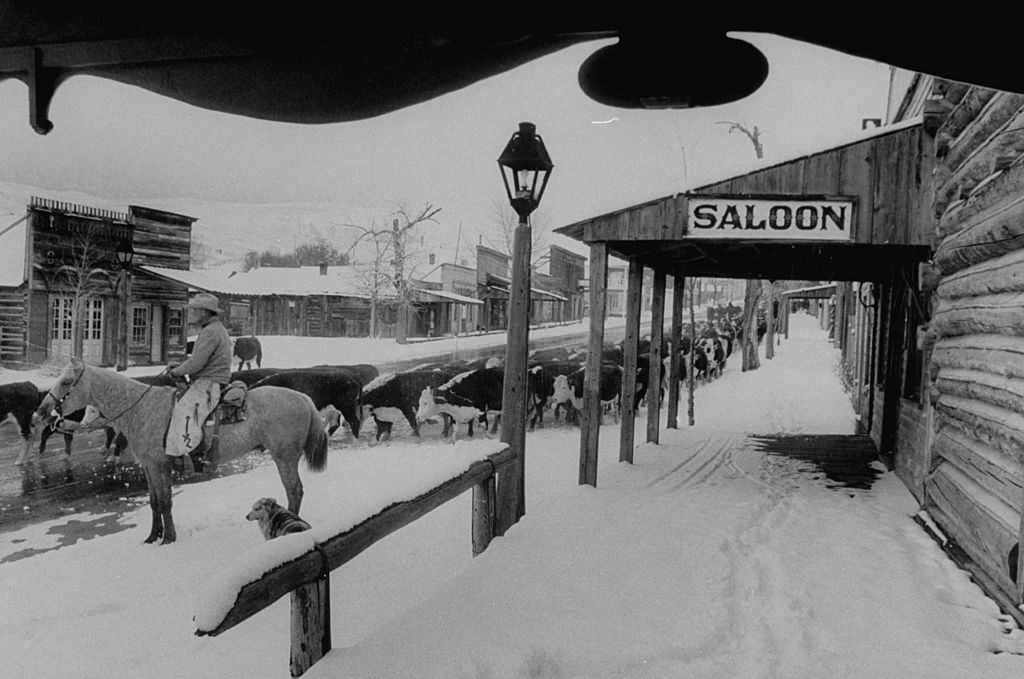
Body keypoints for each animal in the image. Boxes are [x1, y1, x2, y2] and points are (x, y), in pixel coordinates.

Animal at [37, 360, 325, 548]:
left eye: (66, 382)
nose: (42, 411)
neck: (142, 409)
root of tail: (303, 398)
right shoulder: (149, 467)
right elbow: (154, 502)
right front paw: (152, 537)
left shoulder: (160, 466)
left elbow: (165, 502)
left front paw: (168, 539)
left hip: (285, 457)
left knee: (294, 490)